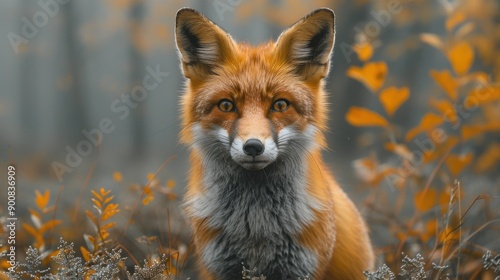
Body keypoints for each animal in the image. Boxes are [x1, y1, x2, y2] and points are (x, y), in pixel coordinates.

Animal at [176, 7, 376, 278]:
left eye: (280, 104)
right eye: (226, 105)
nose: (253, 146)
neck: (255, 226)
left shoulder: (302, 267)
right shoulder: (219, 267)